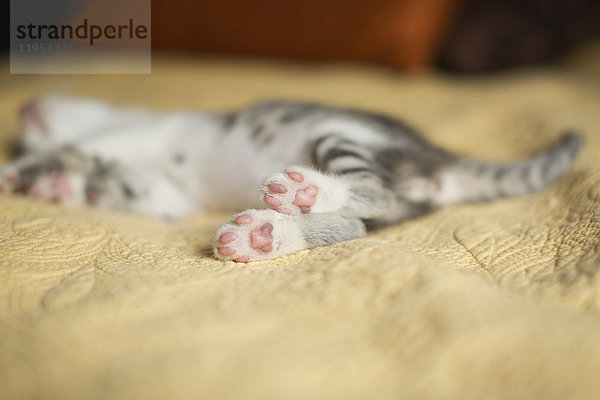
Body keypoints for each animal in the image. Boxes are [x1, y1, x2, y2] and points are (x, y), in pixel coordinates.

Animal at [0, 94, 580, 262]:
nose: (25, 104)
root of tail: (440, 160)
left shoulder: (128, 134)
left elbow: (73, 148)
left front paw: (18, 172)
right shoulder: (170, 191)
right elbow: (131, 189)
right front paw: (63, 186)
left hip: (335, 135)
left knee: (371, 192)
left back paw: (305, 193)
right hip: (394, 204)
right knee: (356, 226)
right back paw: (266, 236)